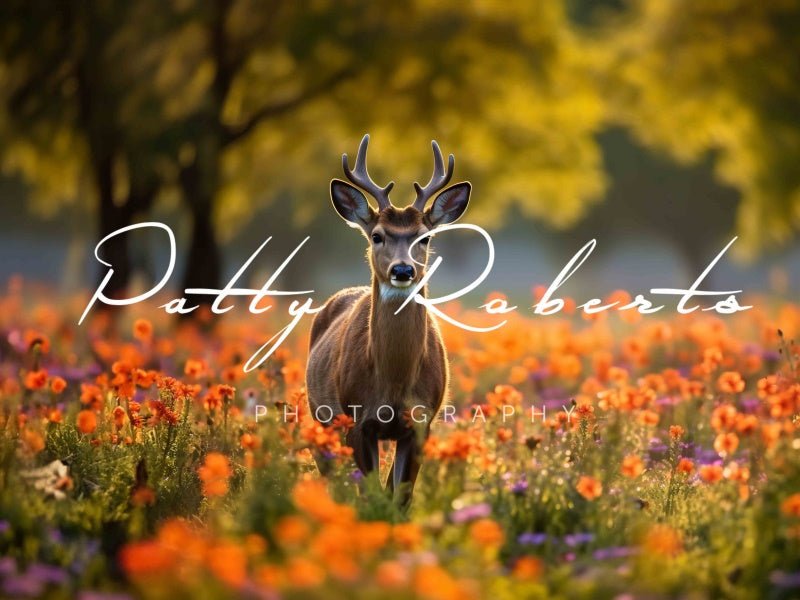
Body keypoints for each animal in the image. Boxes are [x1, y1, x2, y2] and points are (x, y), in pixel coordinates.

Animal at [305, 134, 471, 505]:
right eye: (377, 235)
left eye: (425, 237)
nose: (403, 270)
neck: (393, 386)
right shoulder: (355, 421)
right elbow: (371, 497)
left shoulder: (421, 424)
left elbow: (399, 499)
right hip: (319, 417)